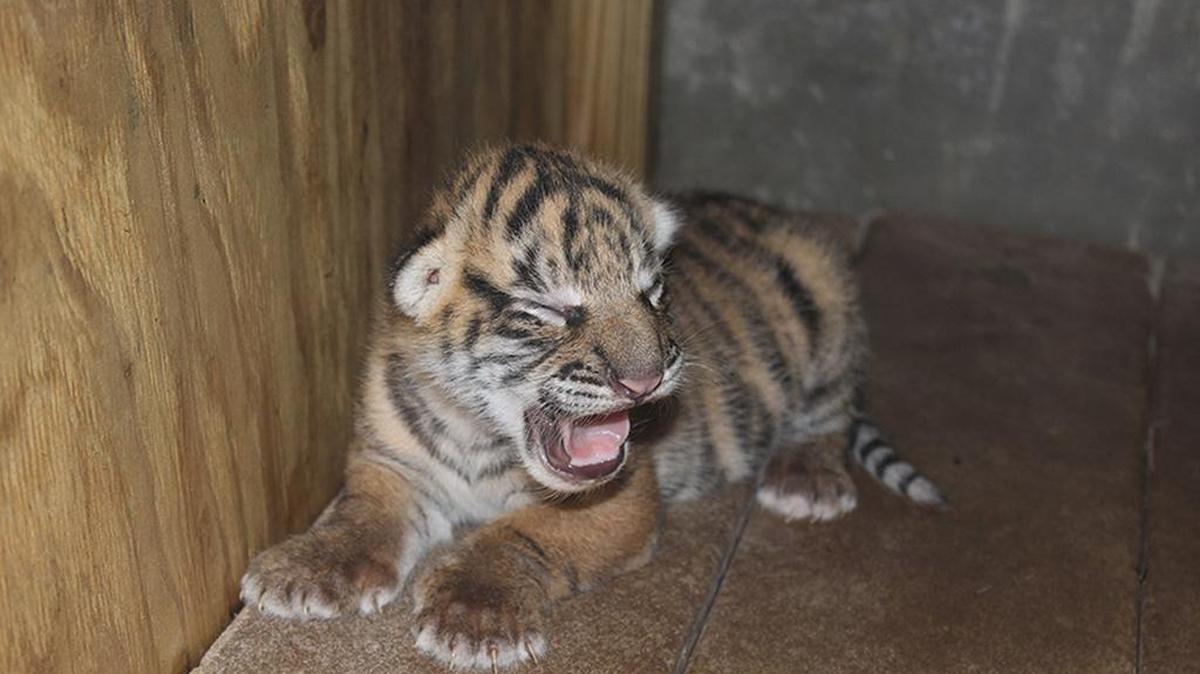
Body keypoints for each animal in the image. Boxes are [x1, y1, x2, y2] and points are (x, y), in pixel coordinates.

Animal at [239, 142, 943, 671]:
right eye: (551, 309)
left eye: (652, 292)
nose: (647, 379)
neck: (480, 433)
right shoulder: (390, 463)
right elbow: (361, 515)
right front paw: (304, 571)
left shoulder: (622, 496)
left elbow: (519, 531)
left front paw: (473, 614)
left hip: (830, 302)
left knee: (832, 411)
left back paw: (804, 479)